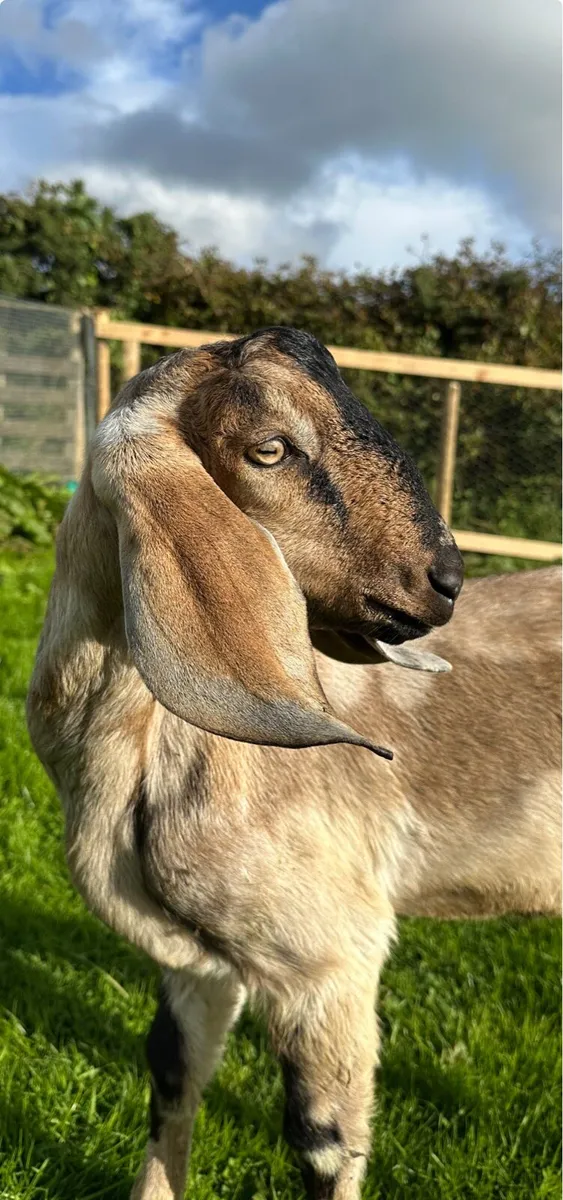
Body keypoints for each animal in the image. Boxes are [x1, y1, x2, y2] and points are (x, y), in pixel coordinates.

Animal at [27, 327, 561, 1200]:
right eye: (268, 449)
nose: (443, 583)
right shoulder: (203, 959)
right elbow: (170, 1071)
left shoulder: (327, 951)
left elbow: (321, 1143)